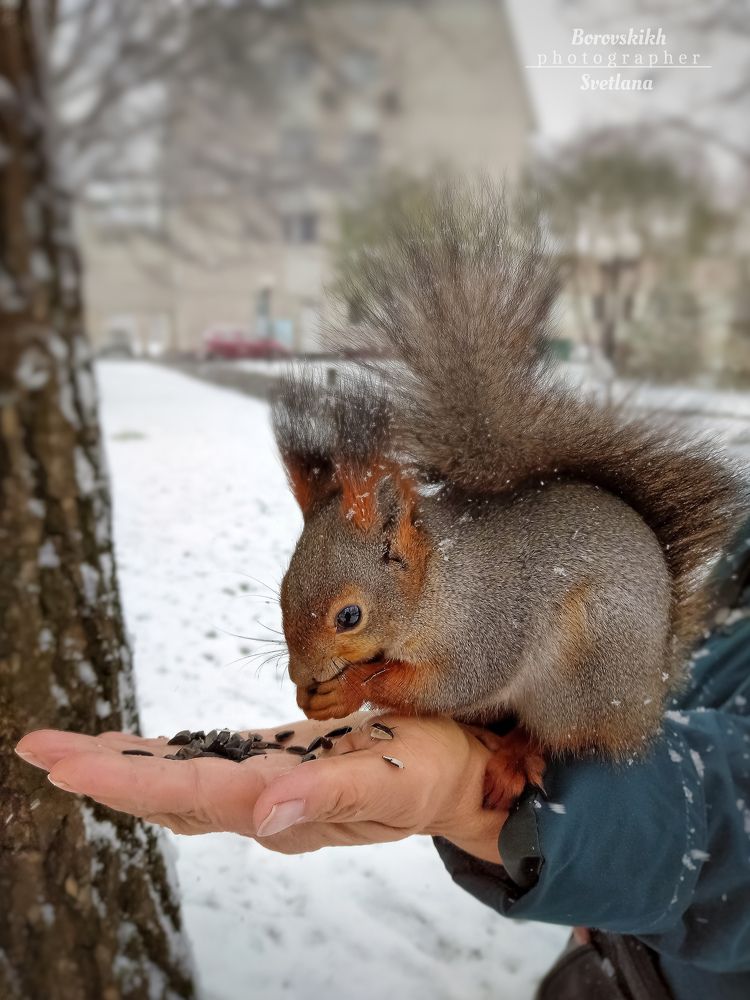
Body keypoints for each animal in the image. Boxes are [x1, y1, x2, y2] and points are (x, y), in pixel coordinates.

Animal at [271, 183, 745, 809]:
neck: (435, 587)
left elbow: (447, 682)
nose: (302, 677)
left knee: (559, 734)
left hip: (584, 671)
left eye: (349, 616)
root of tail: (649, 698)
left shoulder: (486, 627)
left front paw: (351, 689)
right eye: (282, 591)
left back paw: (517, 756)